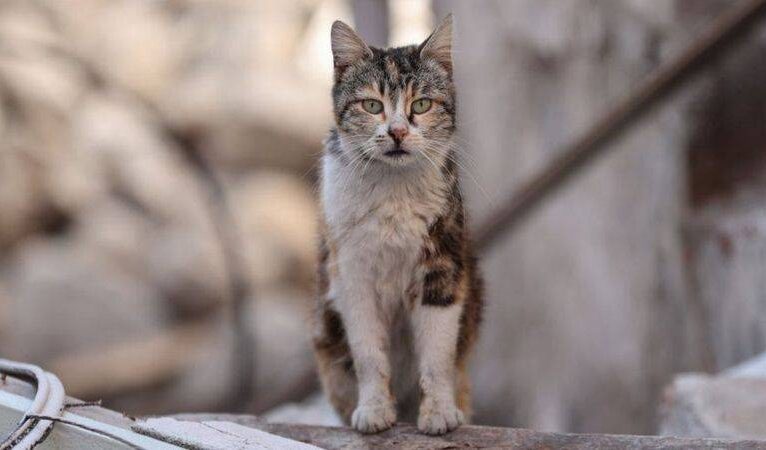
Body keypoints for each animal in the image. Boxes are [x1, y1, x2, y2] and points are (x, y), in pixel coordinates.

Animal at [310, 16, 480, 436]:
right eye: (372, 105)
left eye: (421, 104)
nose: (398, 132)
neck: (392, 191)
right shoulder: (350, 274)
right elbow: (369, 352)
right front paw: (373, 411)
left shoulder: (443, 265)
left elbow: (436, 353)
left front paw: (439, 413)